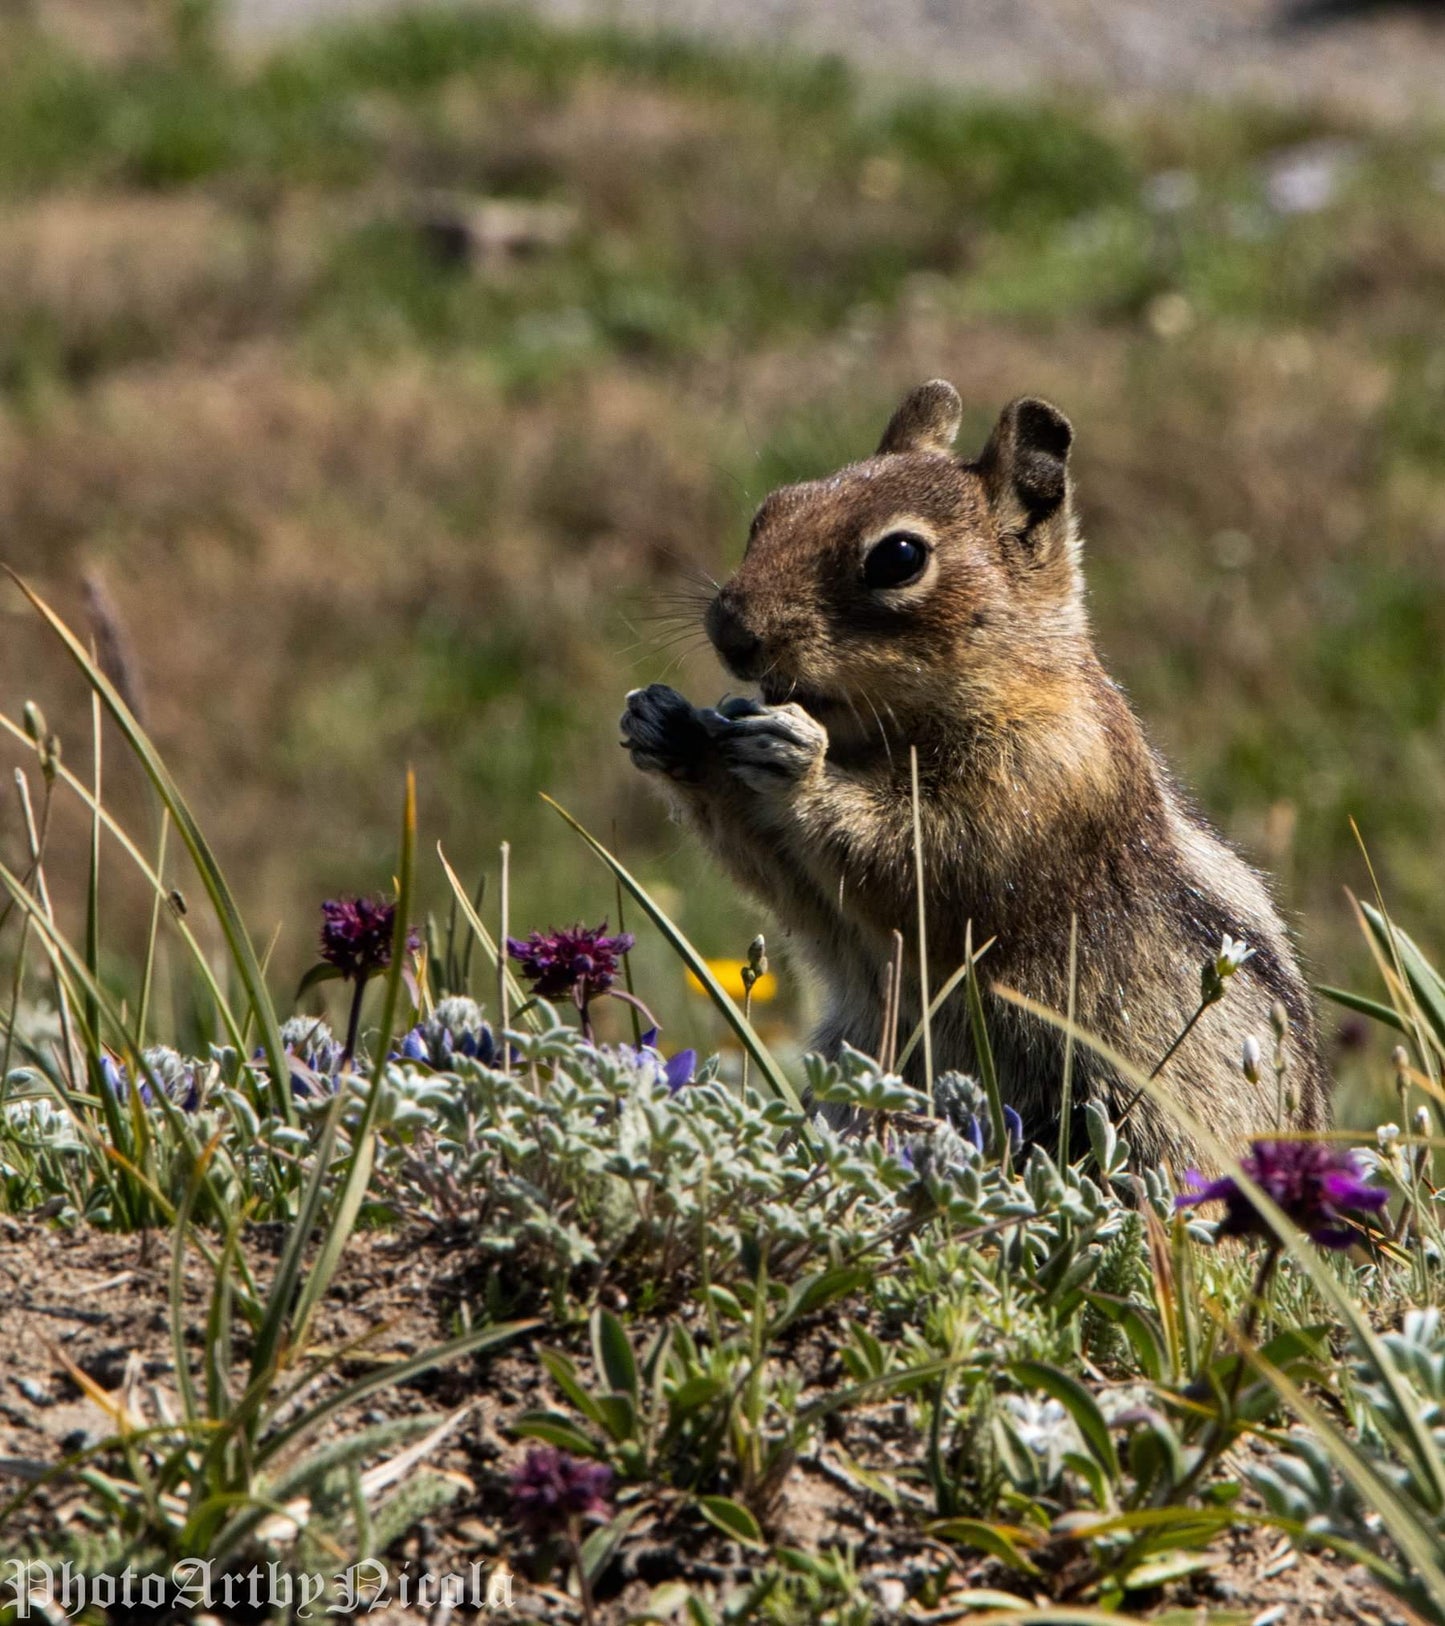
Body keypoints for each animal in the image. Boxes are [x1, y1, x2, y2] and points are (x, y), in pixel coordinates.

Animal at [620, 380, 1329, 1164]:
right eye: (770, 509)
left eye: (899, 556)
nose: (730, 632)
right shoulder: (817, 898)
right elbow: (784, 878)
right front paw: (665, 725)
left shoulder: (1045, 781)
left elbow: (924, 863)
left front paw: (797, 759)